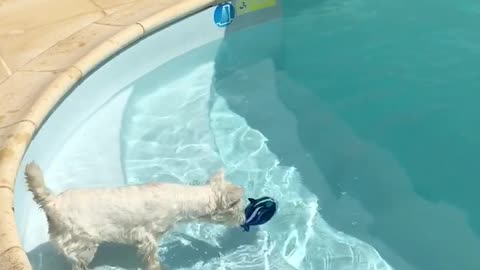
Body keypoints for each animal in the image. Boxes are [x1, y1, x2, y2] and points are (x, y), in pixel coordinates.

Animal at [24, 161, 246, 268]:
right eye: (240, 209)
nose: (245, 220)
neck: (183, 198)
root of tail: (52, 202)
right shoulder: (147, 236)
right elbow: (151, 257)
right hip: (83, 243)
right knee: (78, 263)